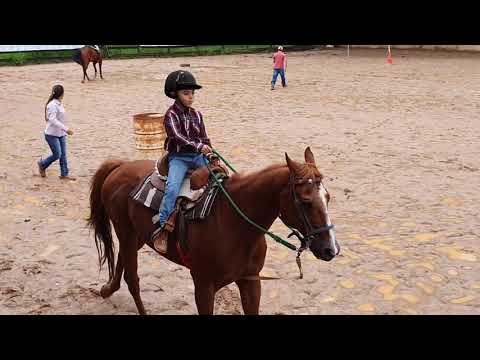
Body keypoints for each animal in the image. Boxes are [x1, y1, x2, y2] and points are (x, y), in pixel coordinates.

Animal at [87, 148, 342, 314]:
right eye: (306, 201)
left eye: (328, 197)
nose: (331, 249)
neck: (233, 225)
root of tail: (120, 166)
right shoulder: (203, 285)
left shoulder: (250, 281)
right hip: (125, 232)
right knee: (132, 279)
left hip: (137, 235)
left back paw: (107, 289)